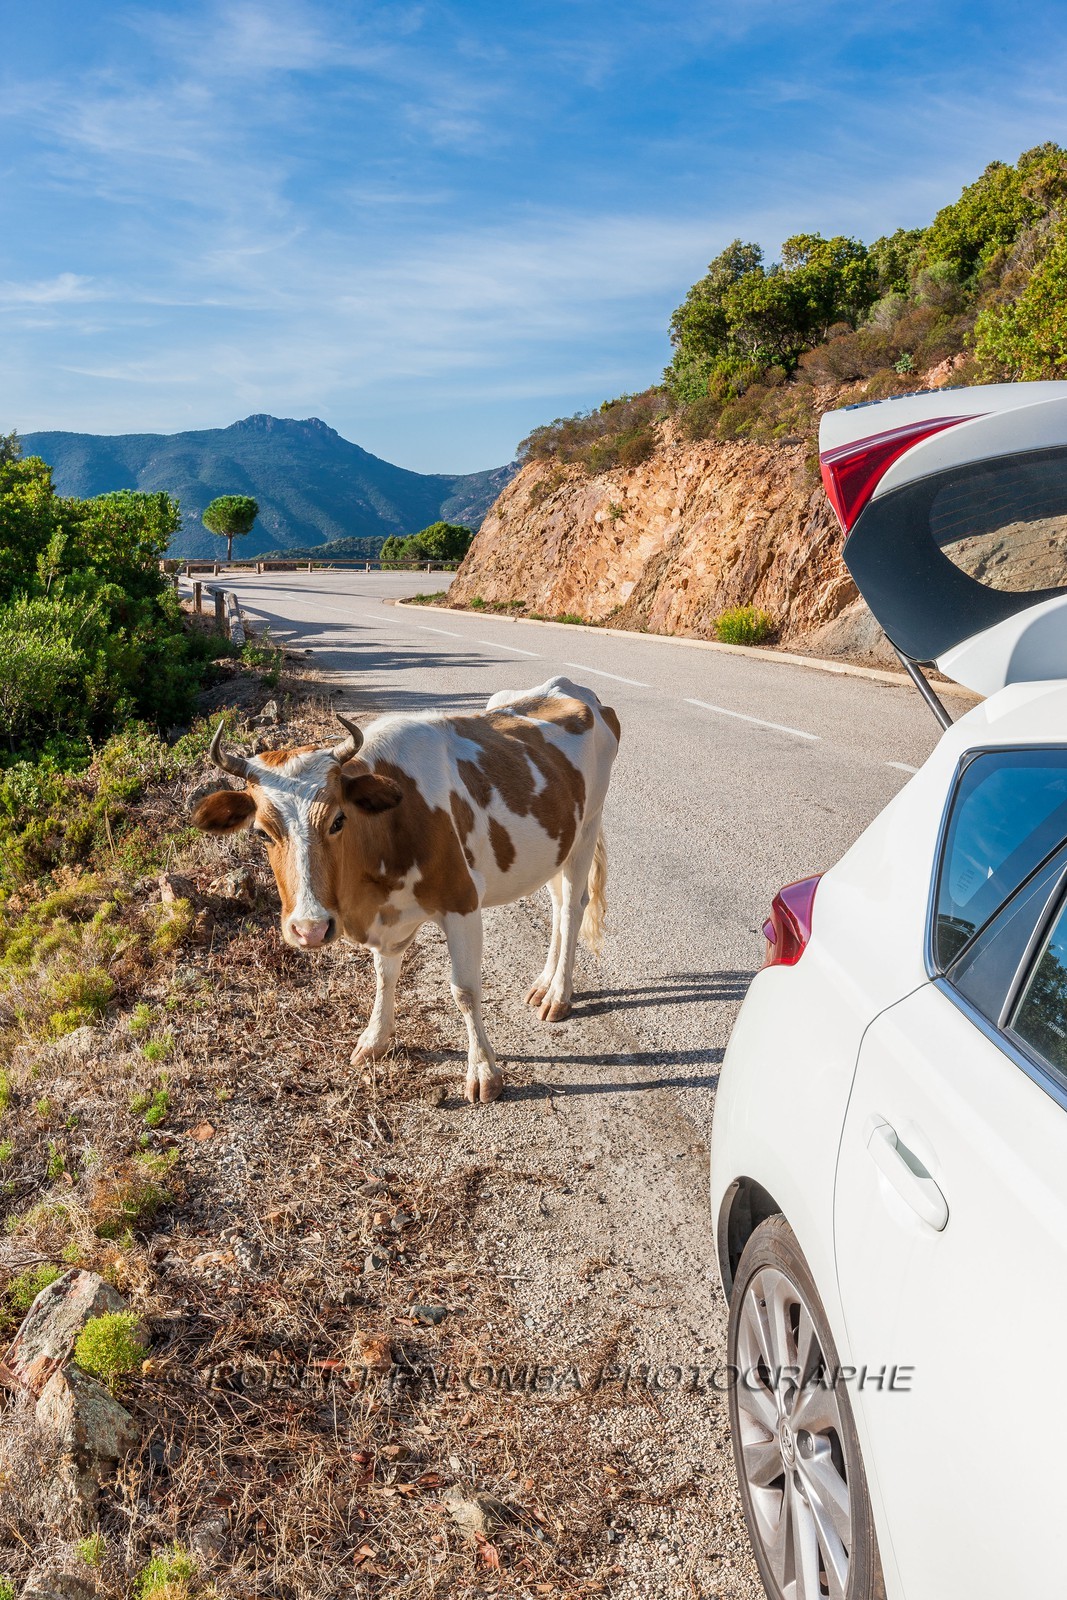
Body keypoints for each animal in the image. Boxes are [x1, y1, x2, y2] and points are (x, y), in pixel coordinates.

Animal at [191, 676, 621, 1102]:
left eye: (338, 820)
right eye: (261, 832)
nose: (309, 929)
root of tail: (571, 688)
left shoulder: (462, 902)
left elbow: (465, 990)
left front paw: (484, 1072)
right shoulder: (389, 917)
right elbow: (384, 974)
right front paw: (375, 1040)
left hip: (588, 828)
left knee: (573, 908)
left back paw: (558, 995)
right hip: (556, 845)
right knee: (558, 905)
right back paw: (543, 984)